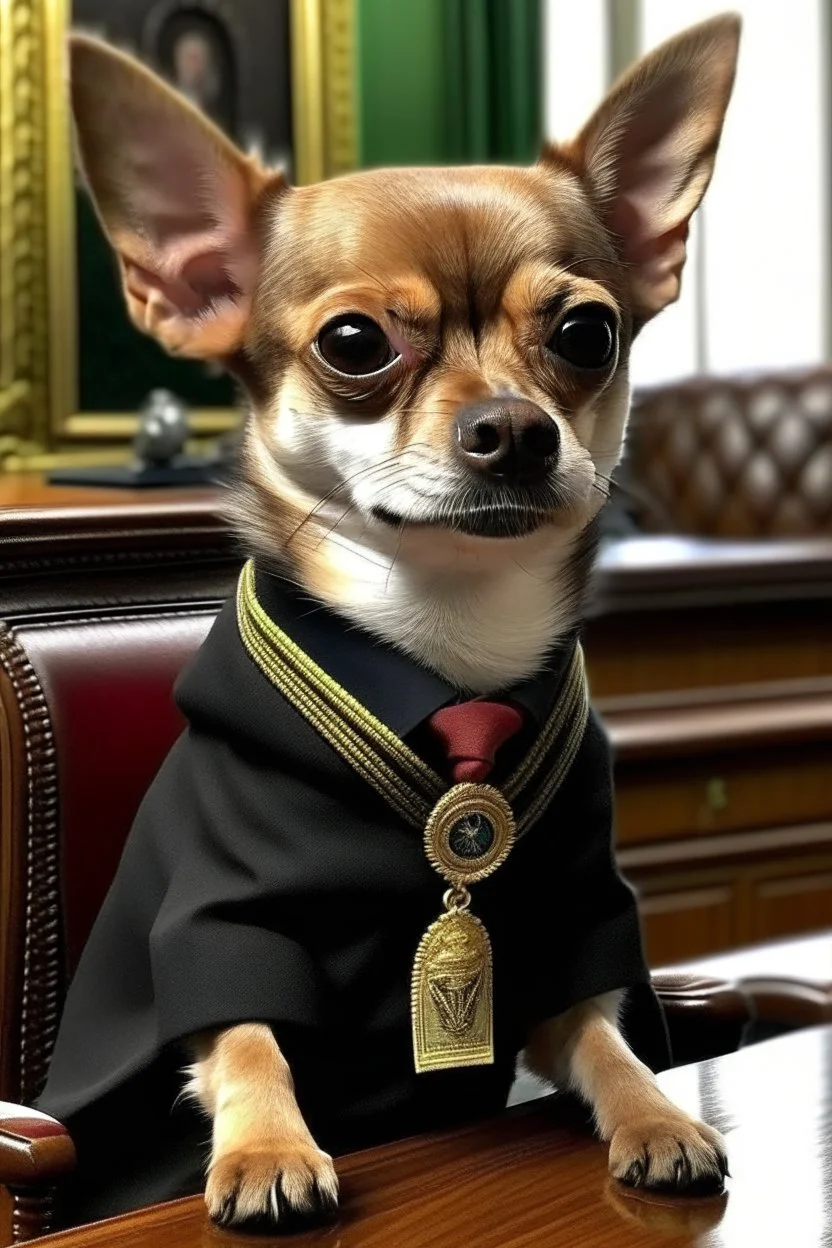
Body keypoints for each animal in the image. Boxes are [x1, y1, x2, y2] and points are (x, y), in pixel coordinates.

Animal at [65, 12, 743, 1228]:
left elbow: (607, 1040)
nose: (515, 428)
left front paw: (658, 1116)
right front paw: (266, 1150)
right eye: (353, 344)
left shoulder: (572, 922)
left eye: (588, 333)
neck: (447, 641)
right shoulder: (222, 923)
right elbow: (248, 1039)